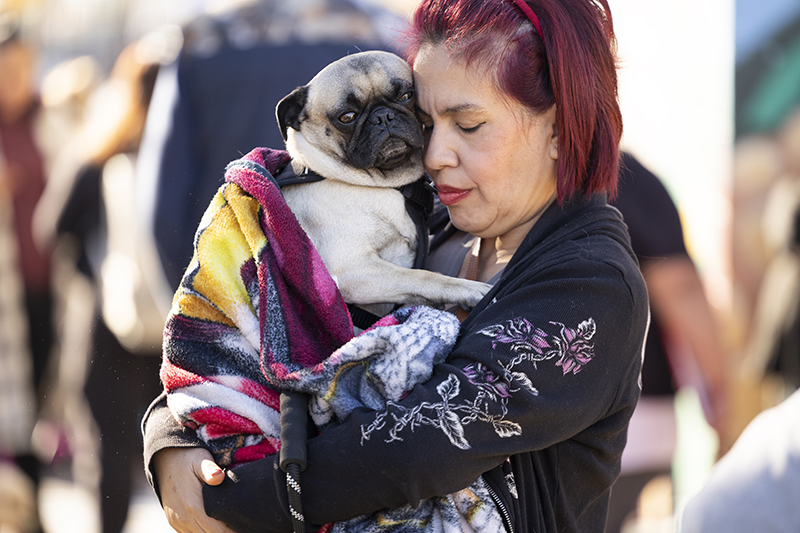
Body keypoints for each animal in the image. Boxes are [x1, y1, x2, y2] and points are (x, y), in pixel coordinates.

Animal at [274, 50, 488, 314]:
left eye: (406, 95)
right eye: (347, 117)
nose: (383, 116)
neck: (380, 186)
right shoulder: (355, 270)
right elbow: (423, 277)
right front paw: (470, 289)